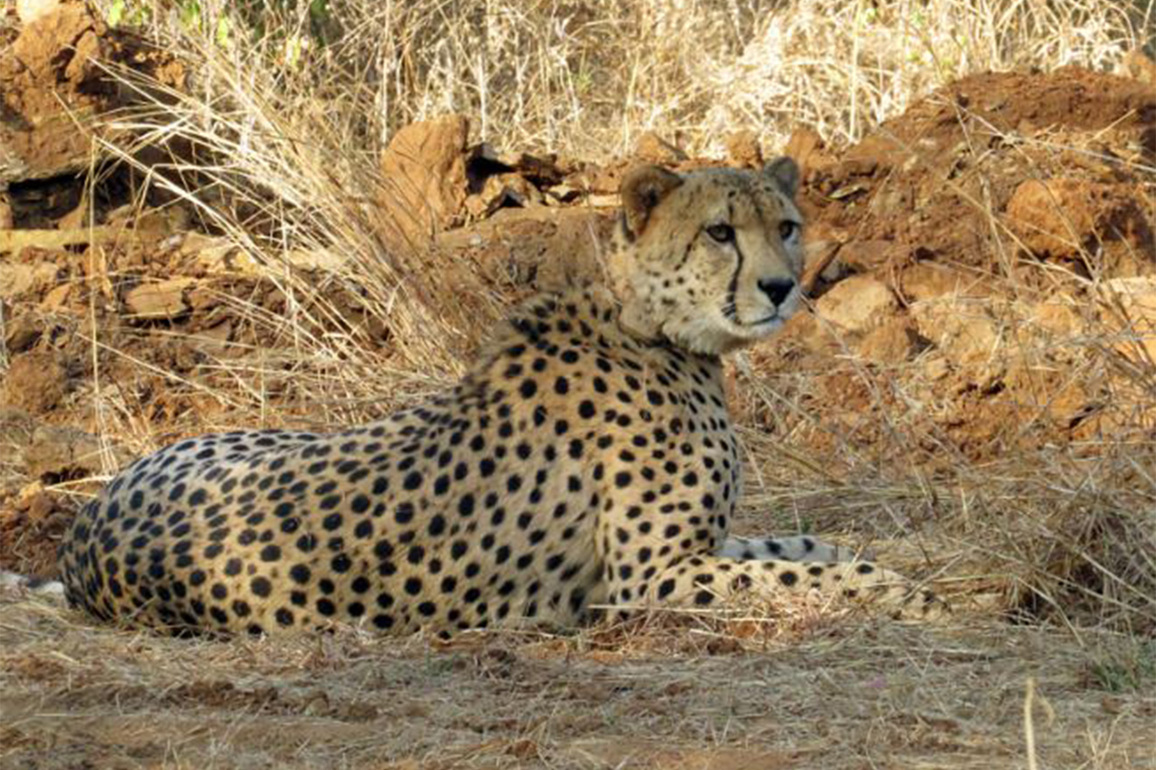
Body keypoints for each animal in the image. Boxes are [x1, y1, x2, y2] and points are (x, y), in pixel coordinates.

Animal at [56, 157, 945, 637]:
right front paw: (905, 596)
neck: (652, 327)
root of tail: (81, 534)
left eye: (786, 225)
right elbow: (805, 577)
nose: (782, 287)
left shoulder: (701, 547)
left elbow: (808, 548)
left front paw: (889, 573)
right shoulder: (646, 578)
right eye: (720, 233)